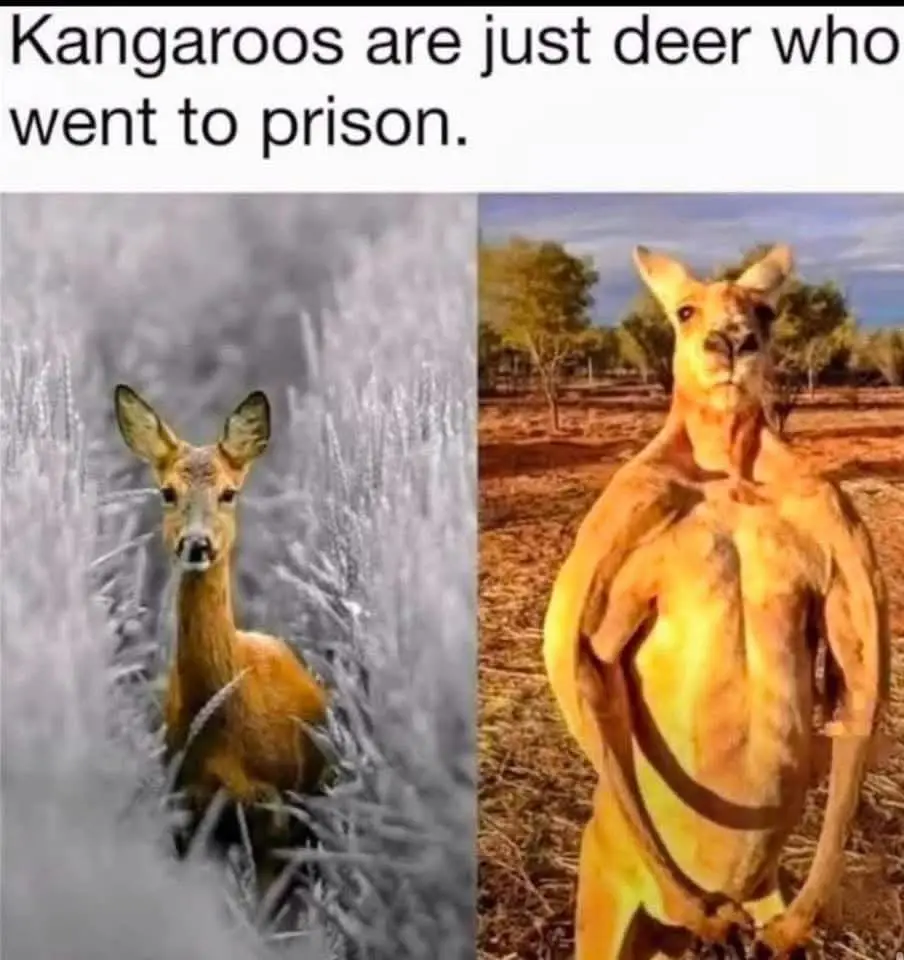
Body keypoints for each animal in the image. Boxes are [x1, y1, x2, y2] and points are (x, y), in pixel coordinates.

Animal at [542, 244, 890, 959]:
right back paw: (701, 908)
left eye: (766, 310)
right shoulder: (627, 510)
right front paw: (698, 905)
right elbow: (584, 659)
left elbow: (860, 678)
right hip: (605, 896)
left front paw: (800, 919)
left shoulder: (837, 526)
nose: (731, 342)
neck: (730, 468)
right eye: (684, 310)